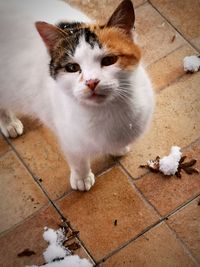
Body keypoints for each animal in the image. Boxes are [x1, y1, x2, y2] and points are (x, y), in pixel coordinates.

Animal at [0, 0, 155, 193]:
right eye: (72, 68)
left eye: (109, 60)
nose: (91, 82)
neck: (107, 111)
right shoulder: (70, 139)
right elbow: (77, 159)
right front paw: (82, 177)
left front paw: (117, 148)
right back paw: (9, 122)